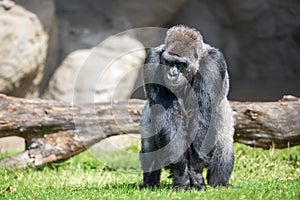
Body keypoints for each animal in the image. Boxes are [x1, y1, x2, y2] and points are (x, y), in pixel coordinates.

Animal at [139, 25, 236, 191]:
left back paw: (219, 184)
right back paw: (150, 184)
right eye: (168, 62)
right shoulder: (152, 60)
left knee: (224, 144)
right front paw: (181, 174)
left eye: (181, 64)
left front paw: (195, 172)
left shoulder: (213, 62)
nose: (172, 73)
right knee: (149, 145)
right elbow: (168, 114)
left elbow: (202, 114)